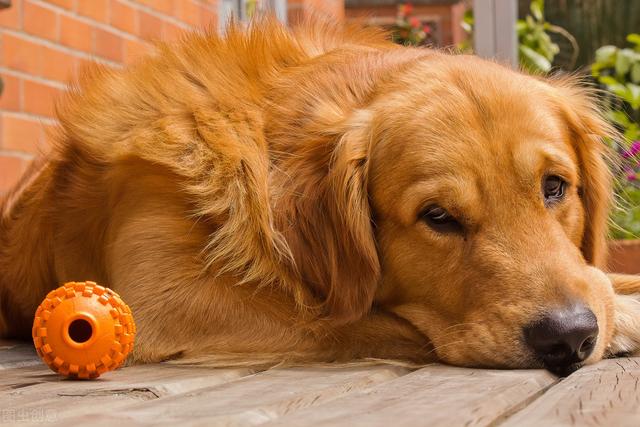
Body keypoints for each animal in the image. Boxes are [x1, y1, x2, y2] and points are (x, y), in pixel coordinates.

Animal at [1, 18, 640, 376]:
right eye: (437, 217)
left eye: (555, 187)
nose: (568, 335)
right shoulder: (164, 301)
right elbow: (361, 320)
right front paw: (627, 319)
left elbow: (604, 275)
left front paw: (619, 297)